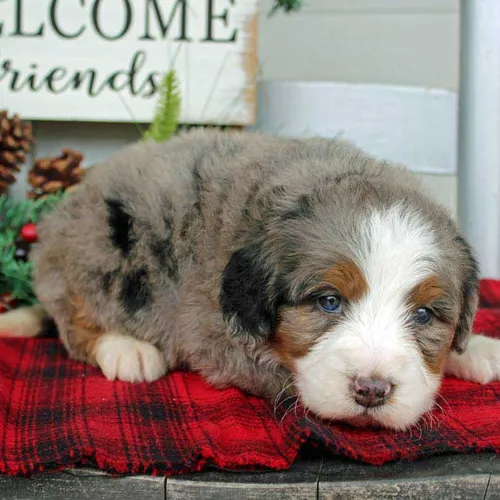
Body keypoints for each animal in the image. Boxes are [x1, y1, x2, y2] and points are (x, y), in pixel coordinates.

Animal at [0, 130, 500, 430]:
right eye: (329, 302)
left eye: (424, 315)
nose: (372, 390)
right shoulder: (220, 338)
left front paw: (476, 350)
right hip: (99, 253)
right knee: (74, 321)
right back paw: (127, 349)